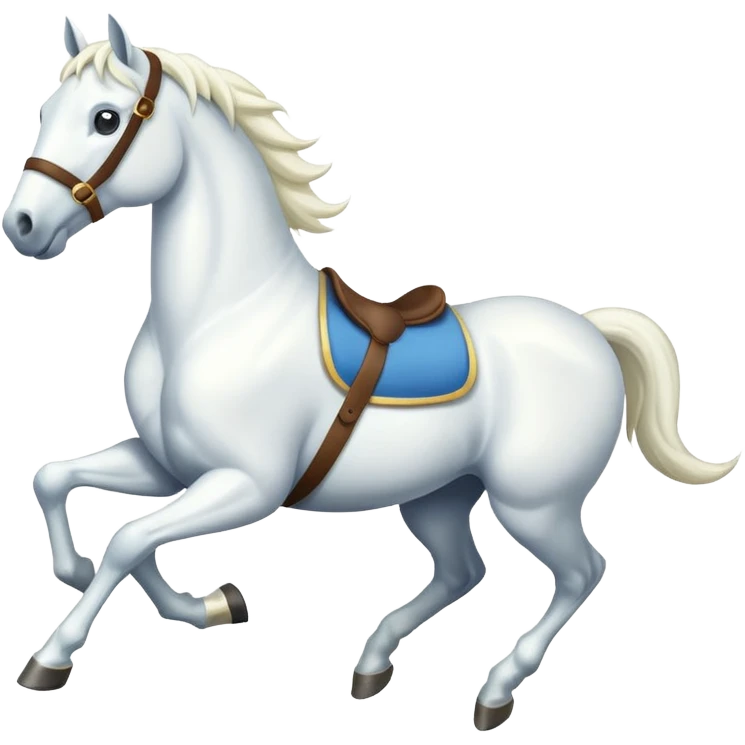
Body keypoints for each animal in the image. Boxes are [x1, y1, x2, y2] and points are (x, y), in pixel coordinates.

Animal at [3, 13, 741, 731]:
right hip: (438, 494)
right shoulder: (170, 467)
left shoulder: (245, 485)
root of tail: (589, 331)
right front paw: (207, 603)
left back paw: (494, 692)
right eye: (47, 109)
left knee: (582, 571)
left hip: (535, 503)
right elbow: (63, 485)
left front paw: (51, 659)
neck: (225, 311)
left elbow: (128, 539)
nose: (23, 225)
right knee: (462, 570)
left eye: (105, 118)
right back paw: (372, 664)